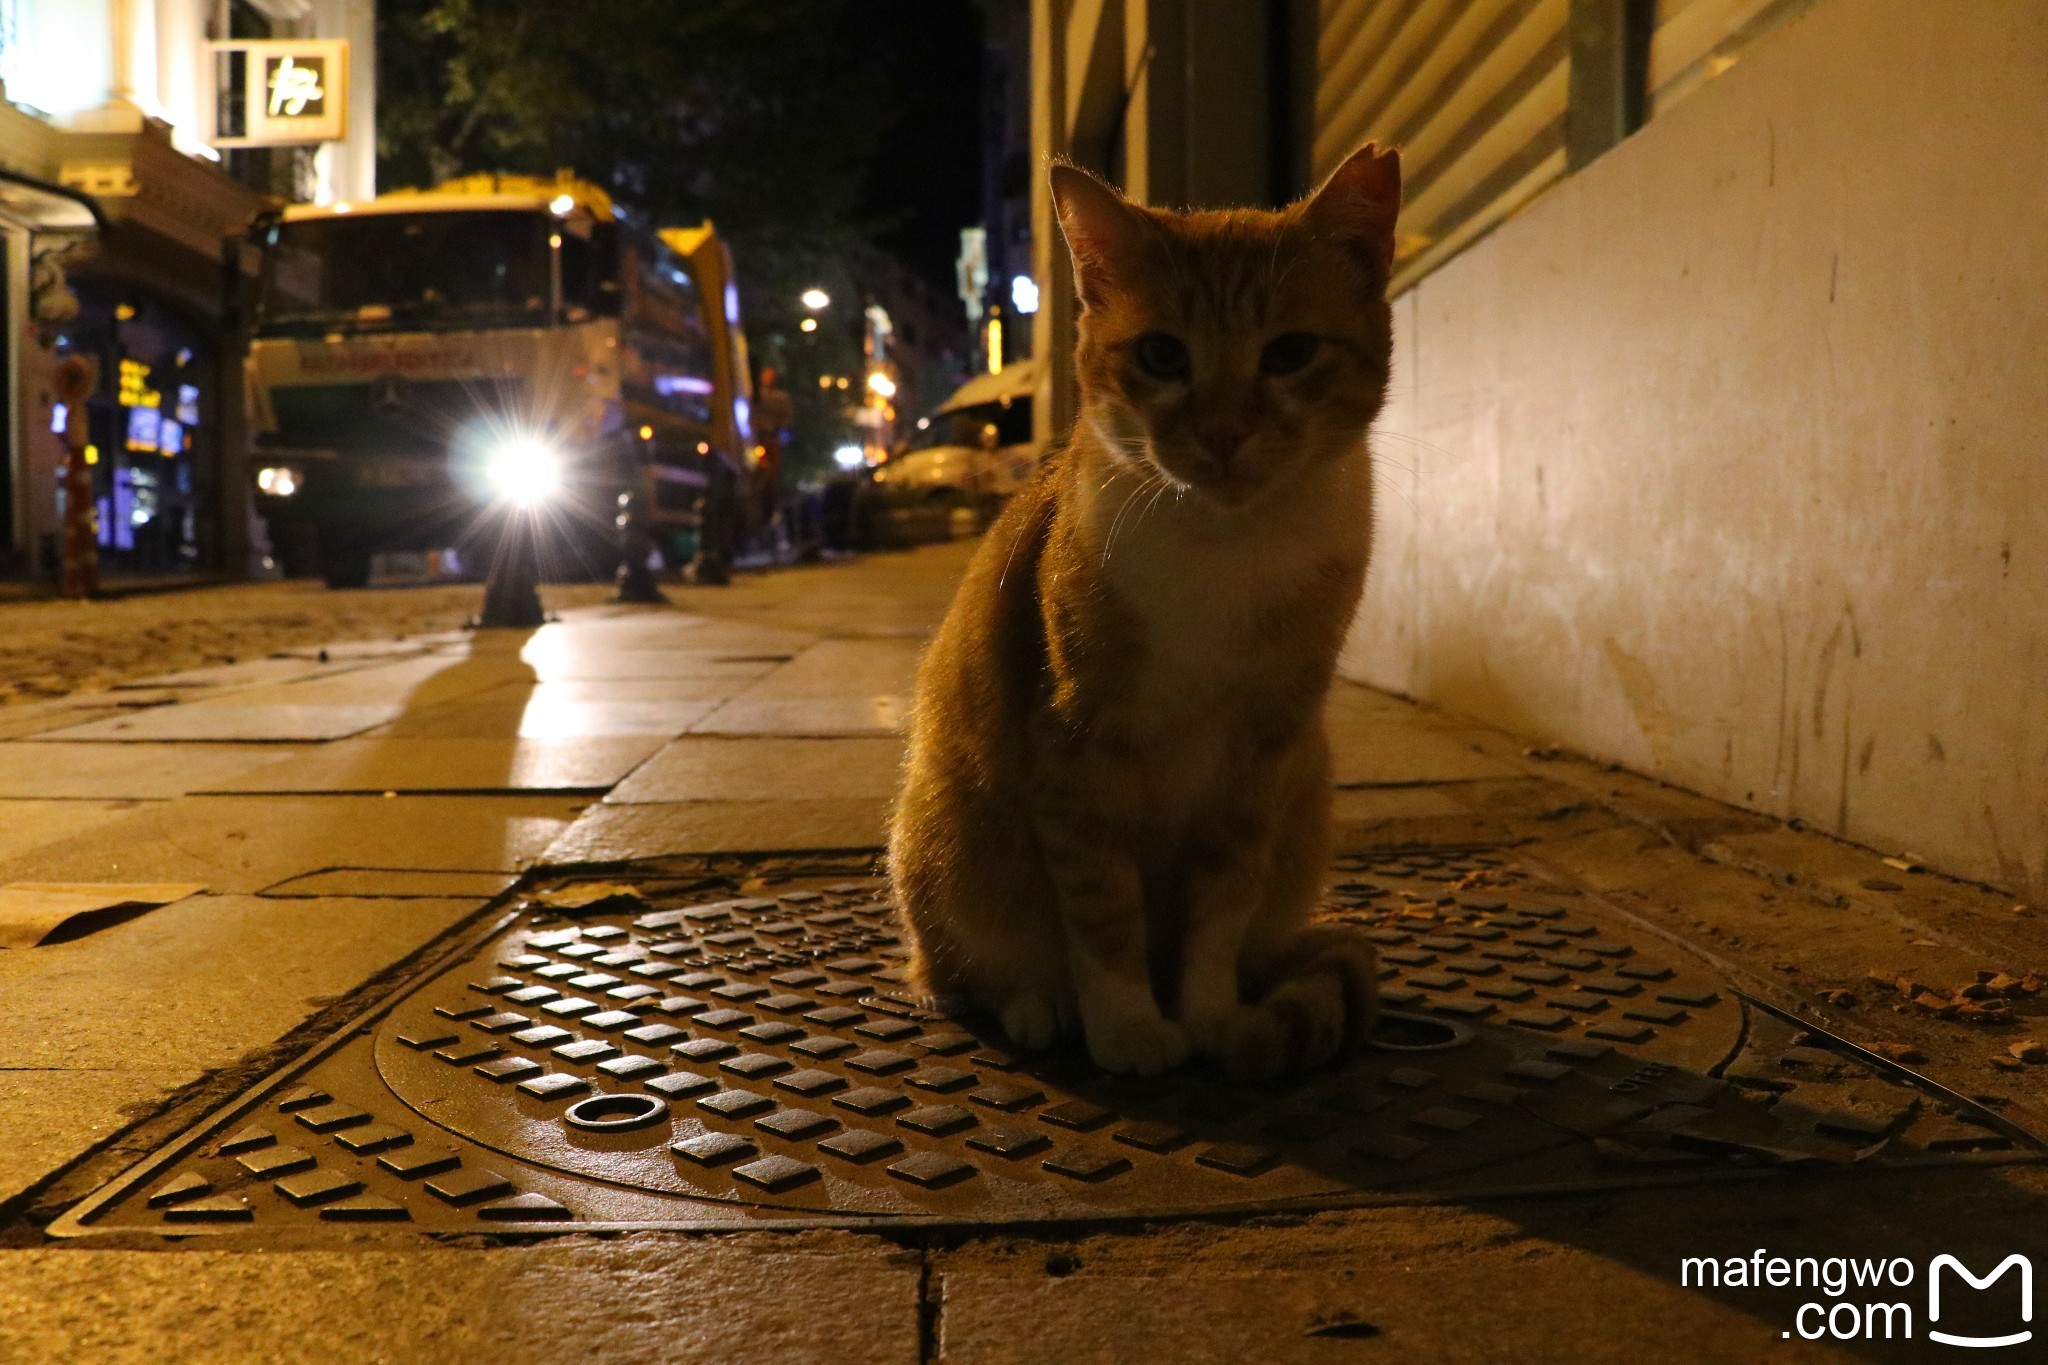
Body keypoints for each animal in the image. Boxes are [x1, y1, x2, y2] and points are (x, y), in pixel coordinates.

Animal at [888, 139, 1400, 1080]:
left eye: (1290, 352)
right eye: (1163, 356)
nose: (1226, 432)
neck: (1223, 553)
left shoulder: (1261, 755)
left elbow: (1219, 906)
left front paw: (1208, 1012)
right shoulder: (1076, 747)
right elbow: (1103, 914)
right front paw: (1127, 1024)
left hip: (1306, 789)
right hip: (951, 831)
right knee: (951, 972)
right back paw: (1039, 1003)